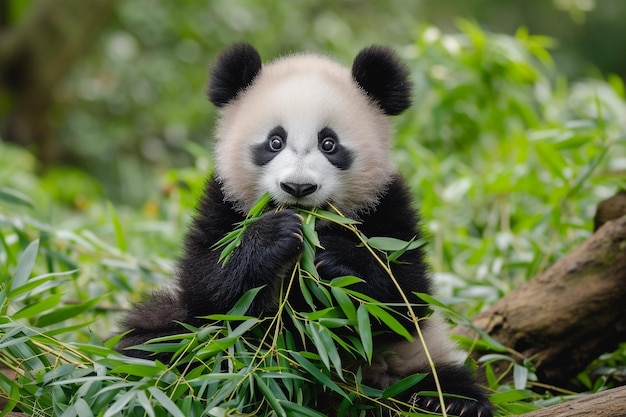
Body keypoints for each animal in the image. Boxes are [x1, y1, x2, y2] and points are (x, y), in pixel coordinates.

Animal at [114, 44, 490, 414]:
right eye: (275, 142)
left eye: (329, 144)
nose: (298, 187)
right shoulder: (222, 201)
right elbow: (206, 283)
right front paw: (274, 237)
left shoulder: (389, 204)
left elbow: (406, 295)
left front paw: (335, 255)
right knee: (157, 344)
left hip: (410, 361)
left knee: (442, 382)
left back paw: (452, 403)